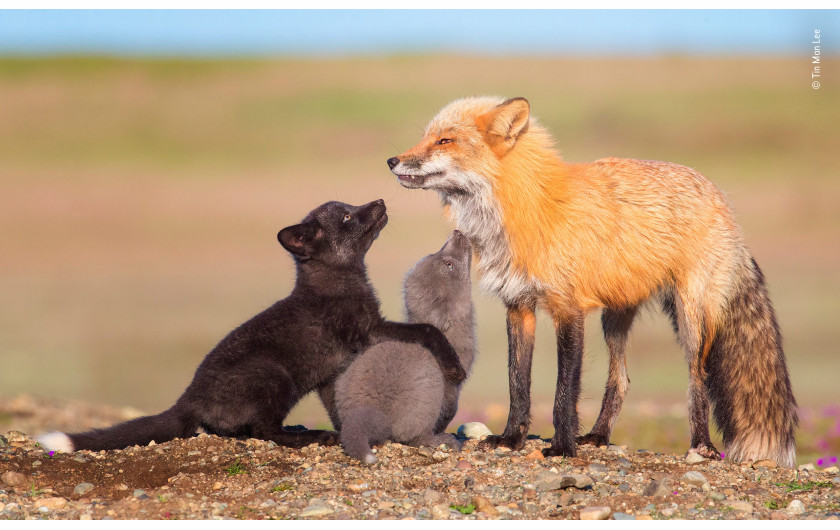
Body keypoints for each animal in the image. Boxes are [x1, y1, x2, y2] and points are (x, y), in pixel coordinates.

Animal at [388, 96, 796, 466]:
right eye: (426, 137)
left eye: (445, 141)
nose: (392, 161)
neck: (528, 208)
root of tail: (721, 199)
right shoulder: (519, 305)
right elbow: (517, 382)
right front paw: (511, 438)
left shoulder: (569, 309)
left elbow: (564, 390)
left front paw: (561, 447)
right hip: (615, 317)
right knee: (621, 379)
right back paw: (599, 436)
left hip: (691, 317)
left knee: (698, 377)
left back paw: (701, 445)